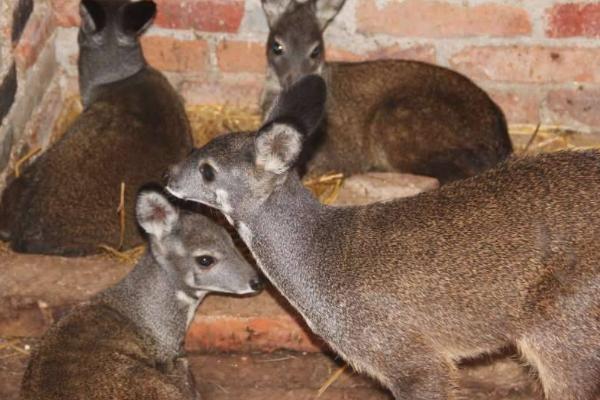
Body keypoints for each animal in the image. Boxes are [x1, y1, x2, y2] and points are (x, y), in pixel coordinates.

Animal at [166, 76, 600, 400]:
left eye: (208, 170)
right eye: (198, 149)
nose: (169, 176)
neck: (320, 255)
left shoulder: (410, 358)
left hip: (564, 330)